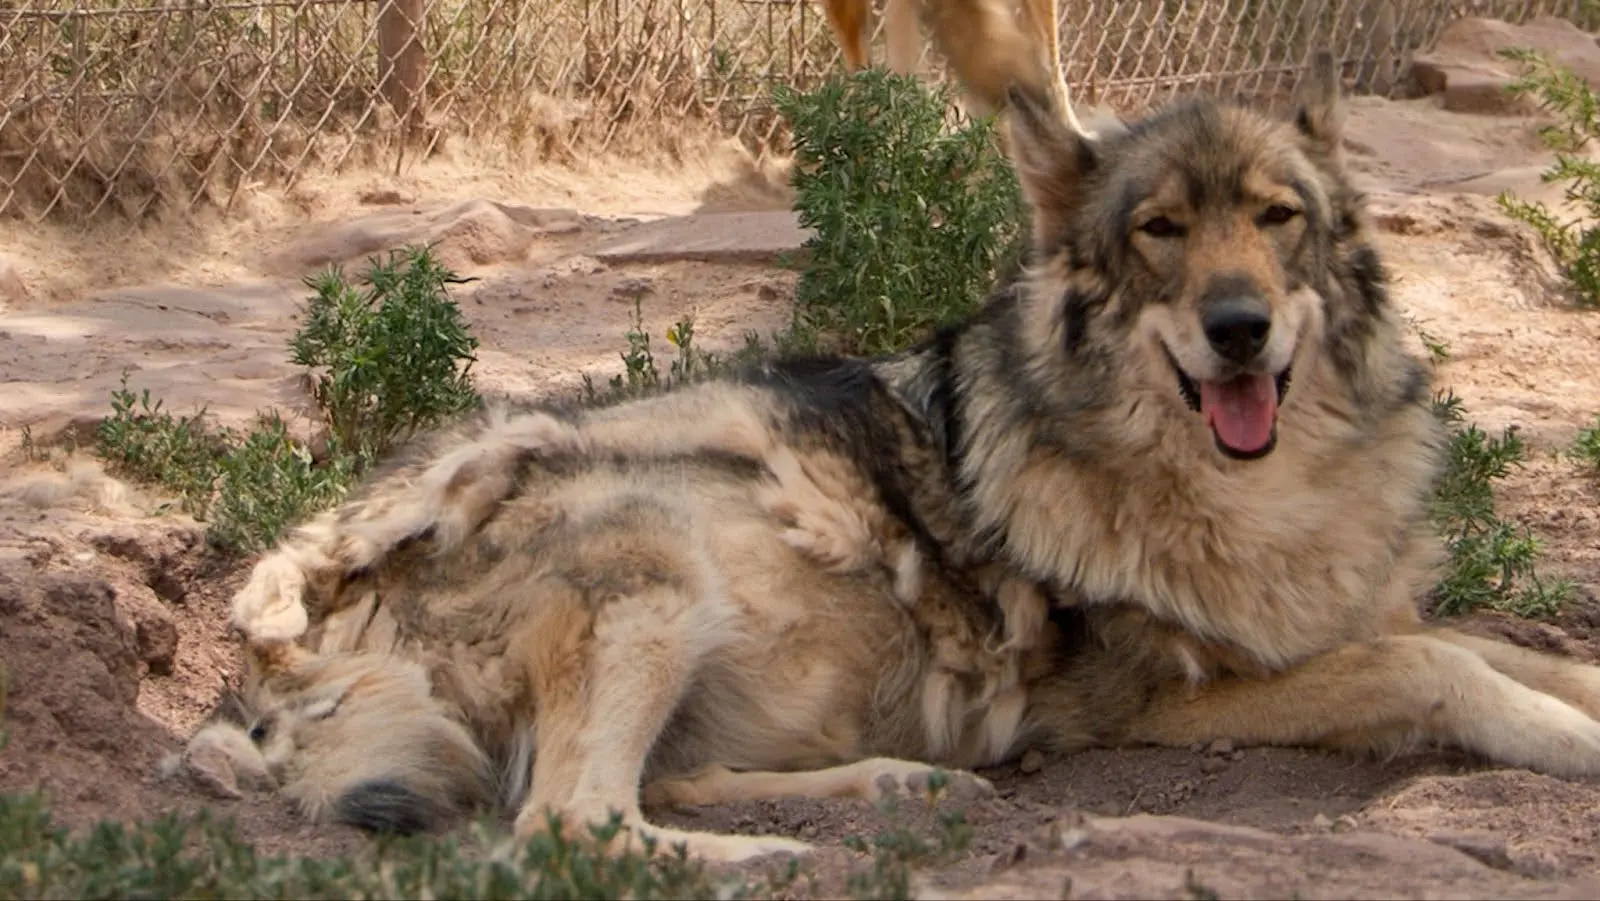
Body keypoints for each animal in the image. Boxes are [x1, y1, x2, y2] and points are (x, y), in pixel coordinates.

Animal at [177, 55, 1600, 863]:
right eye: (1159, 230)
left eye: (1274, 217)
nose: (1237, 326)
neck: (1258, 495)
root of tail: (316, 603)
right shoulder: (1155, 703)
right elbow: (1434, 667)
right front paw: (1566, 744)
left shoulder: (1335, 622)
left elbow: (1512, 650)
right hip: (655, 552)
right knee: (565, 831)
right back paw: (790, 859)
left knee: (649, 790)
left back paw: (894, 786)